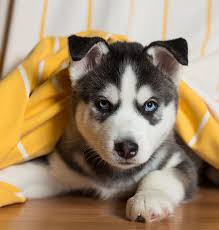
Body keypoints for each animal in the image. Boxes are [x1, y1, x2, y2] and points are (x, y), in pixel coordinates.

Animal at [0, 36, 200, 223]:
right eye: (103, 103)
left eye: (150, 105)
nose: (126, 148)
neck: (115, 174)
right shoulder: (58, 168)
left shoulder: (179, 160)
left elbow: (159, 175)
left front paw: (148, 198)